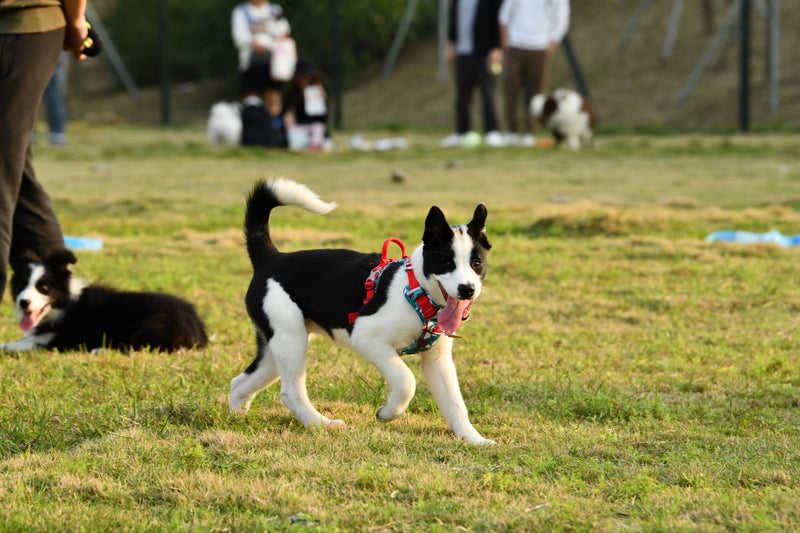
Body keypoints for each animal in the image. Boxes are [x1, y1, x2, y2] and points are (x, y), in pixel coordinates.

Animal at [0, 249, 206, 354]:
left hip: (159, 322)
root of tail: (197, 323)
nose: (23, 302)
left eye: (44, 287)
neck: (63, 306)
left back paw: (101, 350)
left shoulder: (64, 339)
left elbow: (18, 345)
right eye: (21, 285)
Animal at [228, 179, 496, 444]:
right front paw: (387, 413)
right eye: (446, 263)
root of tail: (270, 258)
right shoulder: (367, 337)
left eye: (477, 263)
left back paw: (237, 420)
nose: (467, 290)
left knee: (240, 382)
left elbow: (454, 403)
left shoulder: (437, 360)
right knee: (290, 390)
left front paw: (474, 439)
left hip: (276, 346)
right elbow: (406, 380)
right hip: (290, 338)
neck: (416, 290)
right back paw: (322, 424)